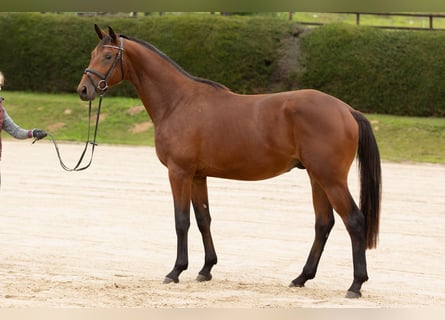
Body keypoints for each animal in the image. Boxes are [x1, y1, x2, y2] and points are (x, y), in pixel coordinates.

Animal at [77, 24, 382, 298]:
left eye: (108, 56)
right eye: (92, 53)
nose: (84, 90)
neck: (178, 102)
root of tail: (347, 110)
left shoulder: (179, 173)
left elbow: (181, 221)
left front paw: (176, 271)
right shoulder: (198, 176)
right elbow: (203, 219)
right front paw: (206, 269)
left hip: (331, 179)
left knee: (354, 221)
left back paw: (355, 285)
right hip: (316, 178)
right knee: (323, 224)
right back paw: (301, 278)